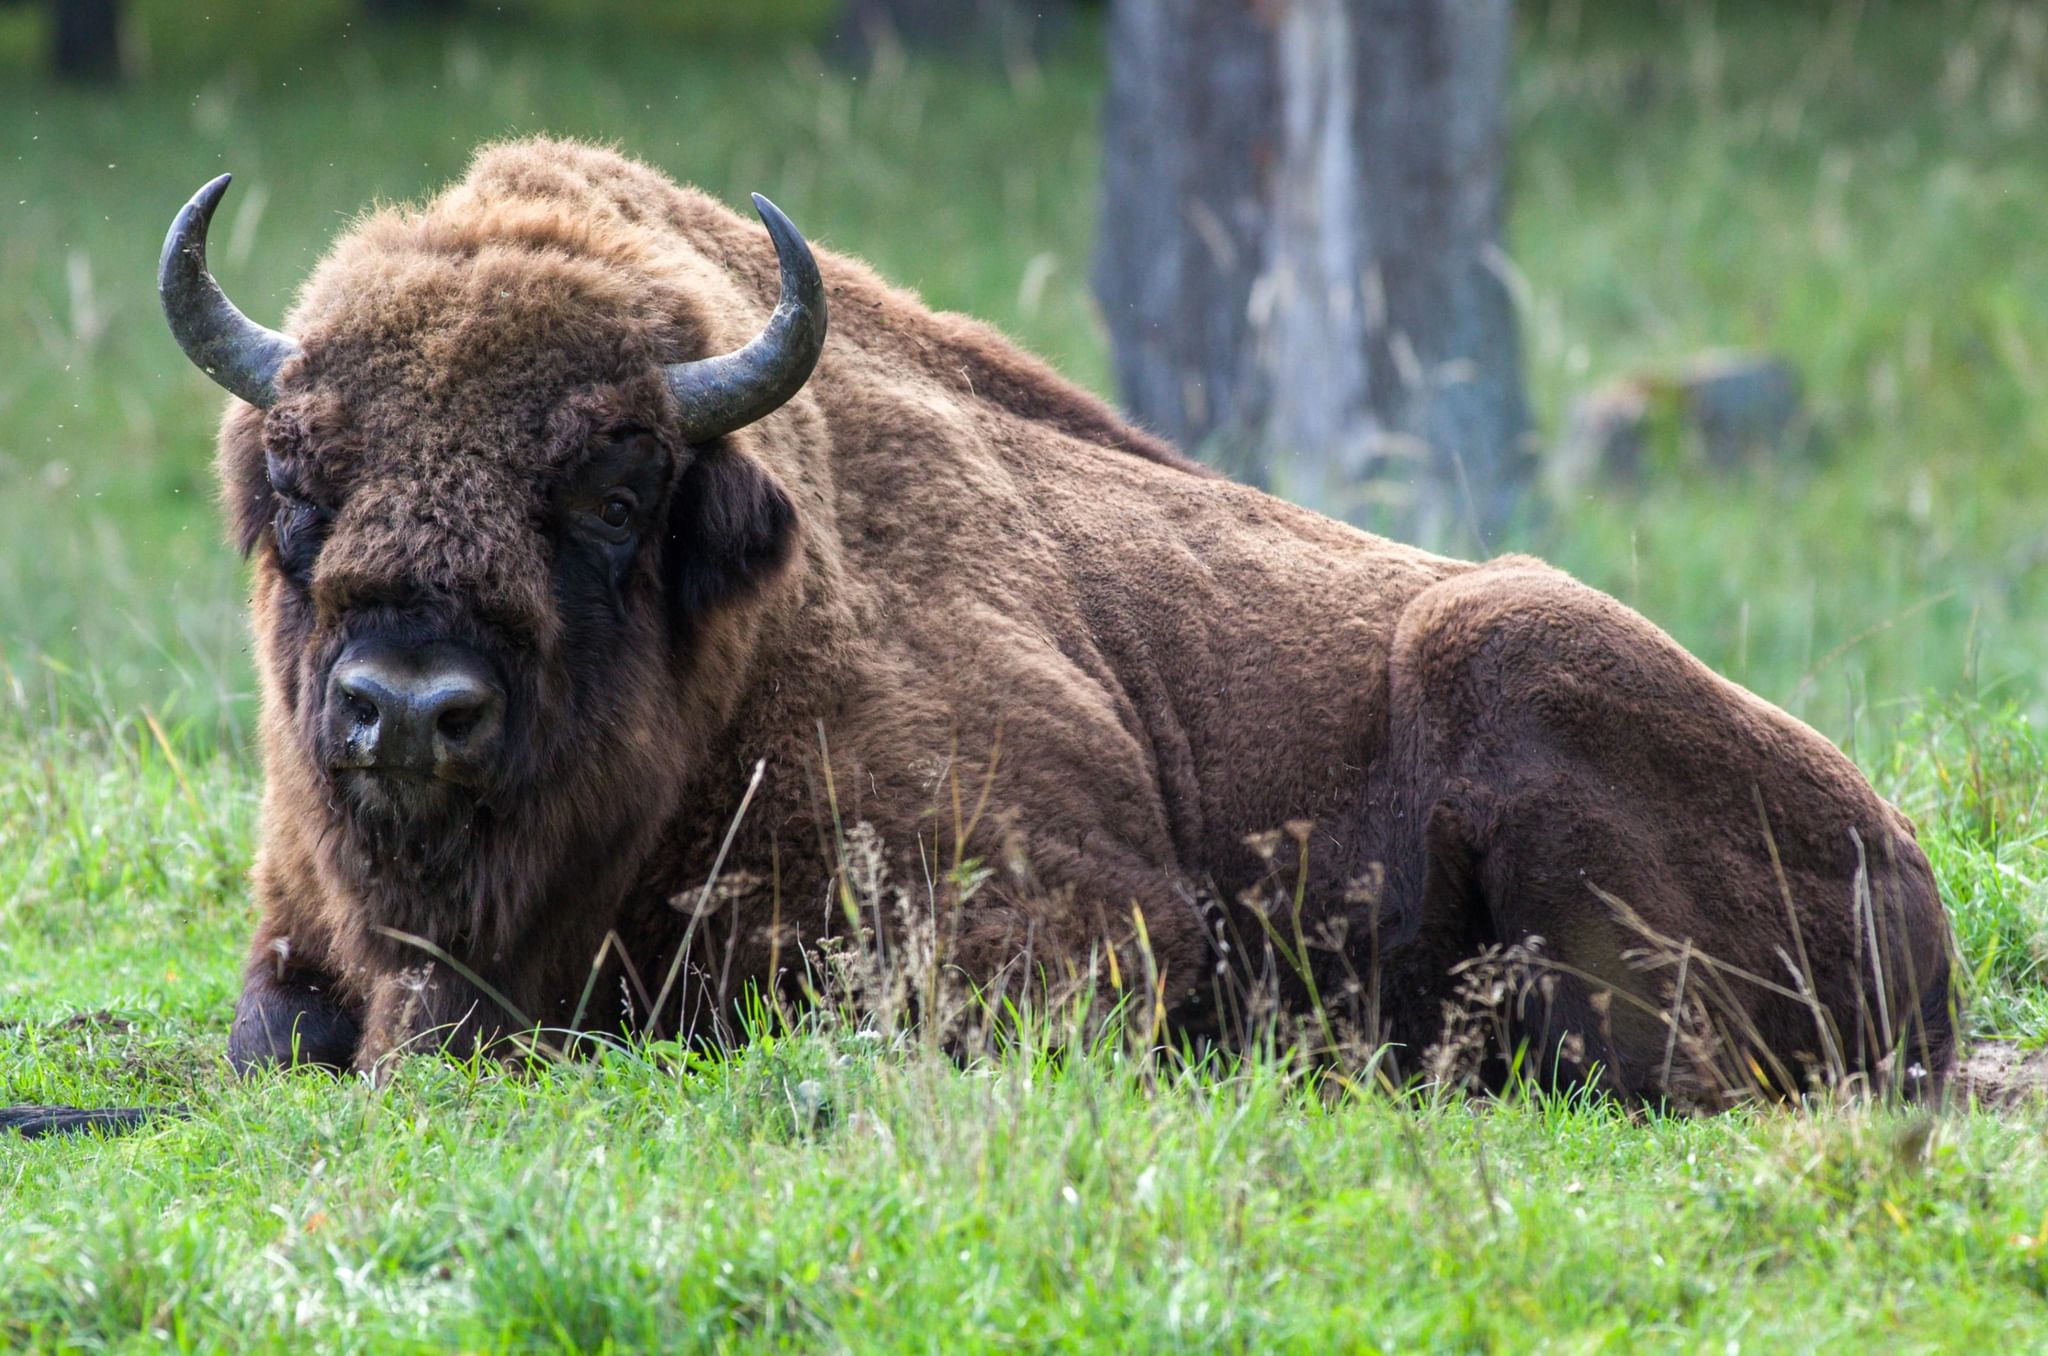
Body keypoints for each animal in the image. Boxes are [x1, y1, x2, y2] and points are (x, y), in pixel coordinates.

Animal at [148, 143, 1949, 1114]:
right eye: (298, 474)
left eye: (612, 480)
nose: (405, 707)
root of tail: (1901, 865)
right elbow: (273, 1037)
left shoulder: (1073, 918)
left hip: (1515, 662)